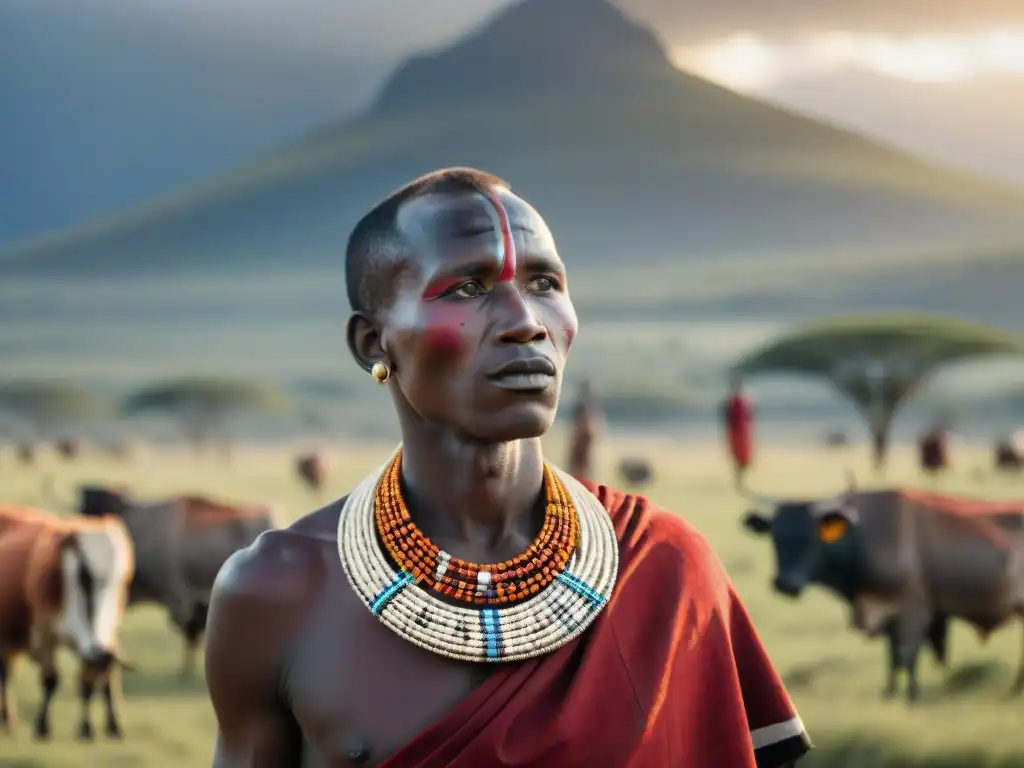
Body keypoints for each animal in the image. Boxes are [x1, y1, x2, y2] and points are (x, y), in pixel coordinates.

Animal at [0, 505, 135, 741]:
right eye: (84, 575)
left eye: (121, 578)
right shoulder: (43, 637)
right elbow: (51, 680)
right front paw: (42, 726)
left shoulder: (104, 642)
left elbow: (94, 682)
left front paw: (97, 727)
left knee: (6, 673)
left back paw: (8, 718)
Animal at [745, 489, 1024, 708]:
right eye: (776, 537)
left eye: (811, 537)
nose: (786, 584)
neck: (864, 536)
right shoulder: (889, 612)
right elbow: (892, 657)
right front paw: (889, 694)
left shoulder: (915, 609)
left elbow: (907, 654)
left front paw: (912, 696)